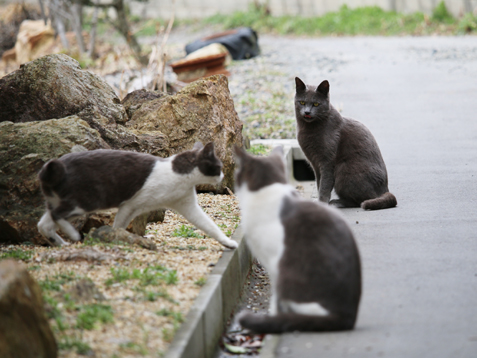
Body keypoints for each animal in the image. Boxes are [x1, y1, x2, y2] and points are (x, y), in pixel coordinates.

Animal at [37, 142, 238, 249]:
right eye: (219, 167)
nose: (222, 175)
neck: (181, 177)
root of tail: (52, 168)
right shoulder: (130, 205)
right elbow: (118, 224)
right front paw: (115, 238)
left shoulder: (187, 205)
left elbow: (209, 225)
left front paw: (228, 242)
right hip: (85, 200)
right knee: (57, 215)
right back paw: (73, 234)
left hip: (59, 202)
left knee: (43, 224)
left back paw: (61, 243)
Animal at [294, 76, 398, 210]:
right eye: (302, 102)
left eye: (316, 104)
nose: (307, 112)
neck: (308, 129)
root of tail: (385, 189)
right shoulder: (315, 164)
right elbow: (318, 183)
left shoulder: (327, 161)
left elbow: (324, 186)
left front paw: (322, 203)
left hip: (344, 170)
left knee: (361, 200)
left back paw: (337, 202)